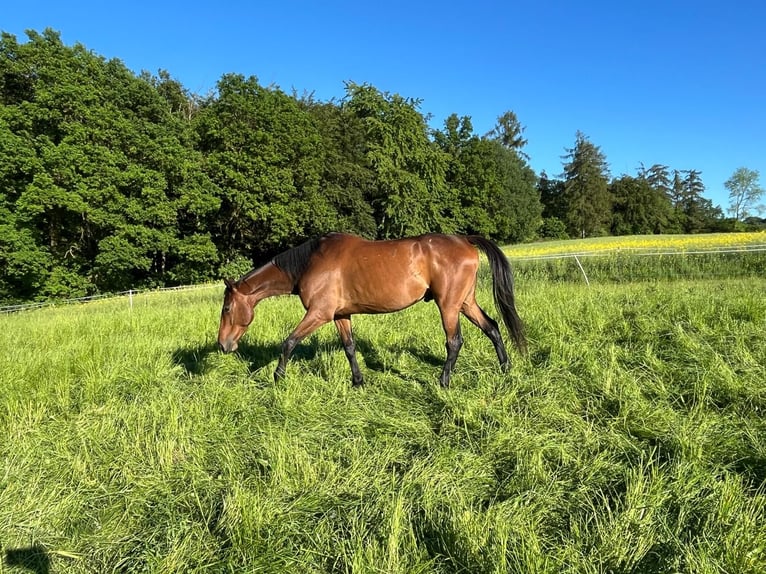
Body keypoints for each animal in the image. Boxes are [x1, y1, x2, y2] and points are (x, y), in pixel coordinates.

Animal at [217, 232, 526, 388]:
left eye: (227, 307)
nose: (223, 345)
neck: (310, 262)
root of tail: (466, 240)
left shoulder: (319, 314)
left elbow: (289, 341)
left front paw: (277, 378)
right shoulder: (340, 315)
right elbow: (349, 348)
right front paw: (358, 382)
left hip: (448, 305)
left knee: (454, 342)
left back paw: (444, 381)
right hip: (465, 302)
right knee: (492, 327)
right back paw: (506, 368)